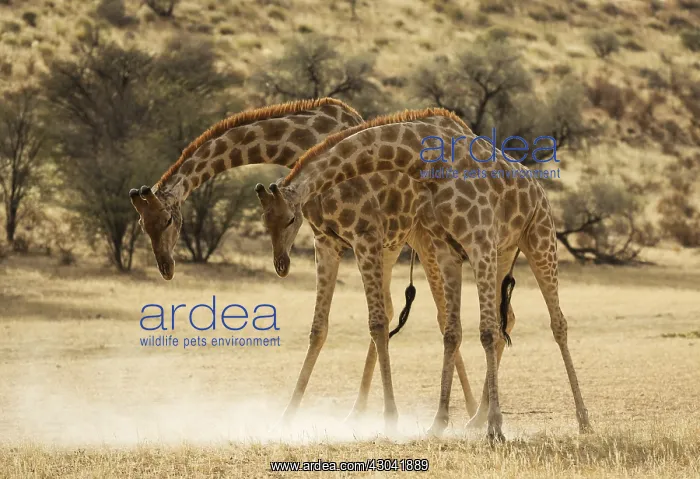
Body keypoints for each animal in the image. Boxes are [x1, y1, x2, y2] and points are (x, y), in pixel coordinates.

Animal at [126, 98, 478, 424]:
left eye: (167, 221)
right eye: (143, 225)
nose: (166, 268)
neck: (302, 144)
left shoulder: (363, 235)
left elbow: (376, 324)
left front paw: (391, 416)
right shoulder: (328, 241)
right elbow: (319, 328)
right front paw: (288, 414)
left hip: (425, 237)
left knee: (441, 314)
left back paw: (473, 411)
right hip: (394, 244)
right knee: (402, 310)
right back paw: (360, 411)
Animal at [255, 107, 591, 441]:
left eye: (290, 219)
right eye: (265, 221)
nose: (281, 265)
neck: (426, 162)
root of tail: (537, 188)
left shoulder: (478, 242)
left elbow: (485, 332)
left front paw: (496, 428)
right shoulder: (447, 250)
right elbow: (452, 332)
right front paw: (438, 423)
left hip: (540, 240)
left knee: (557, 323)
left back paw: (583, 420)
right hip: (504, 252)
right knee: (506, 320)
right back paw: (476, 420)